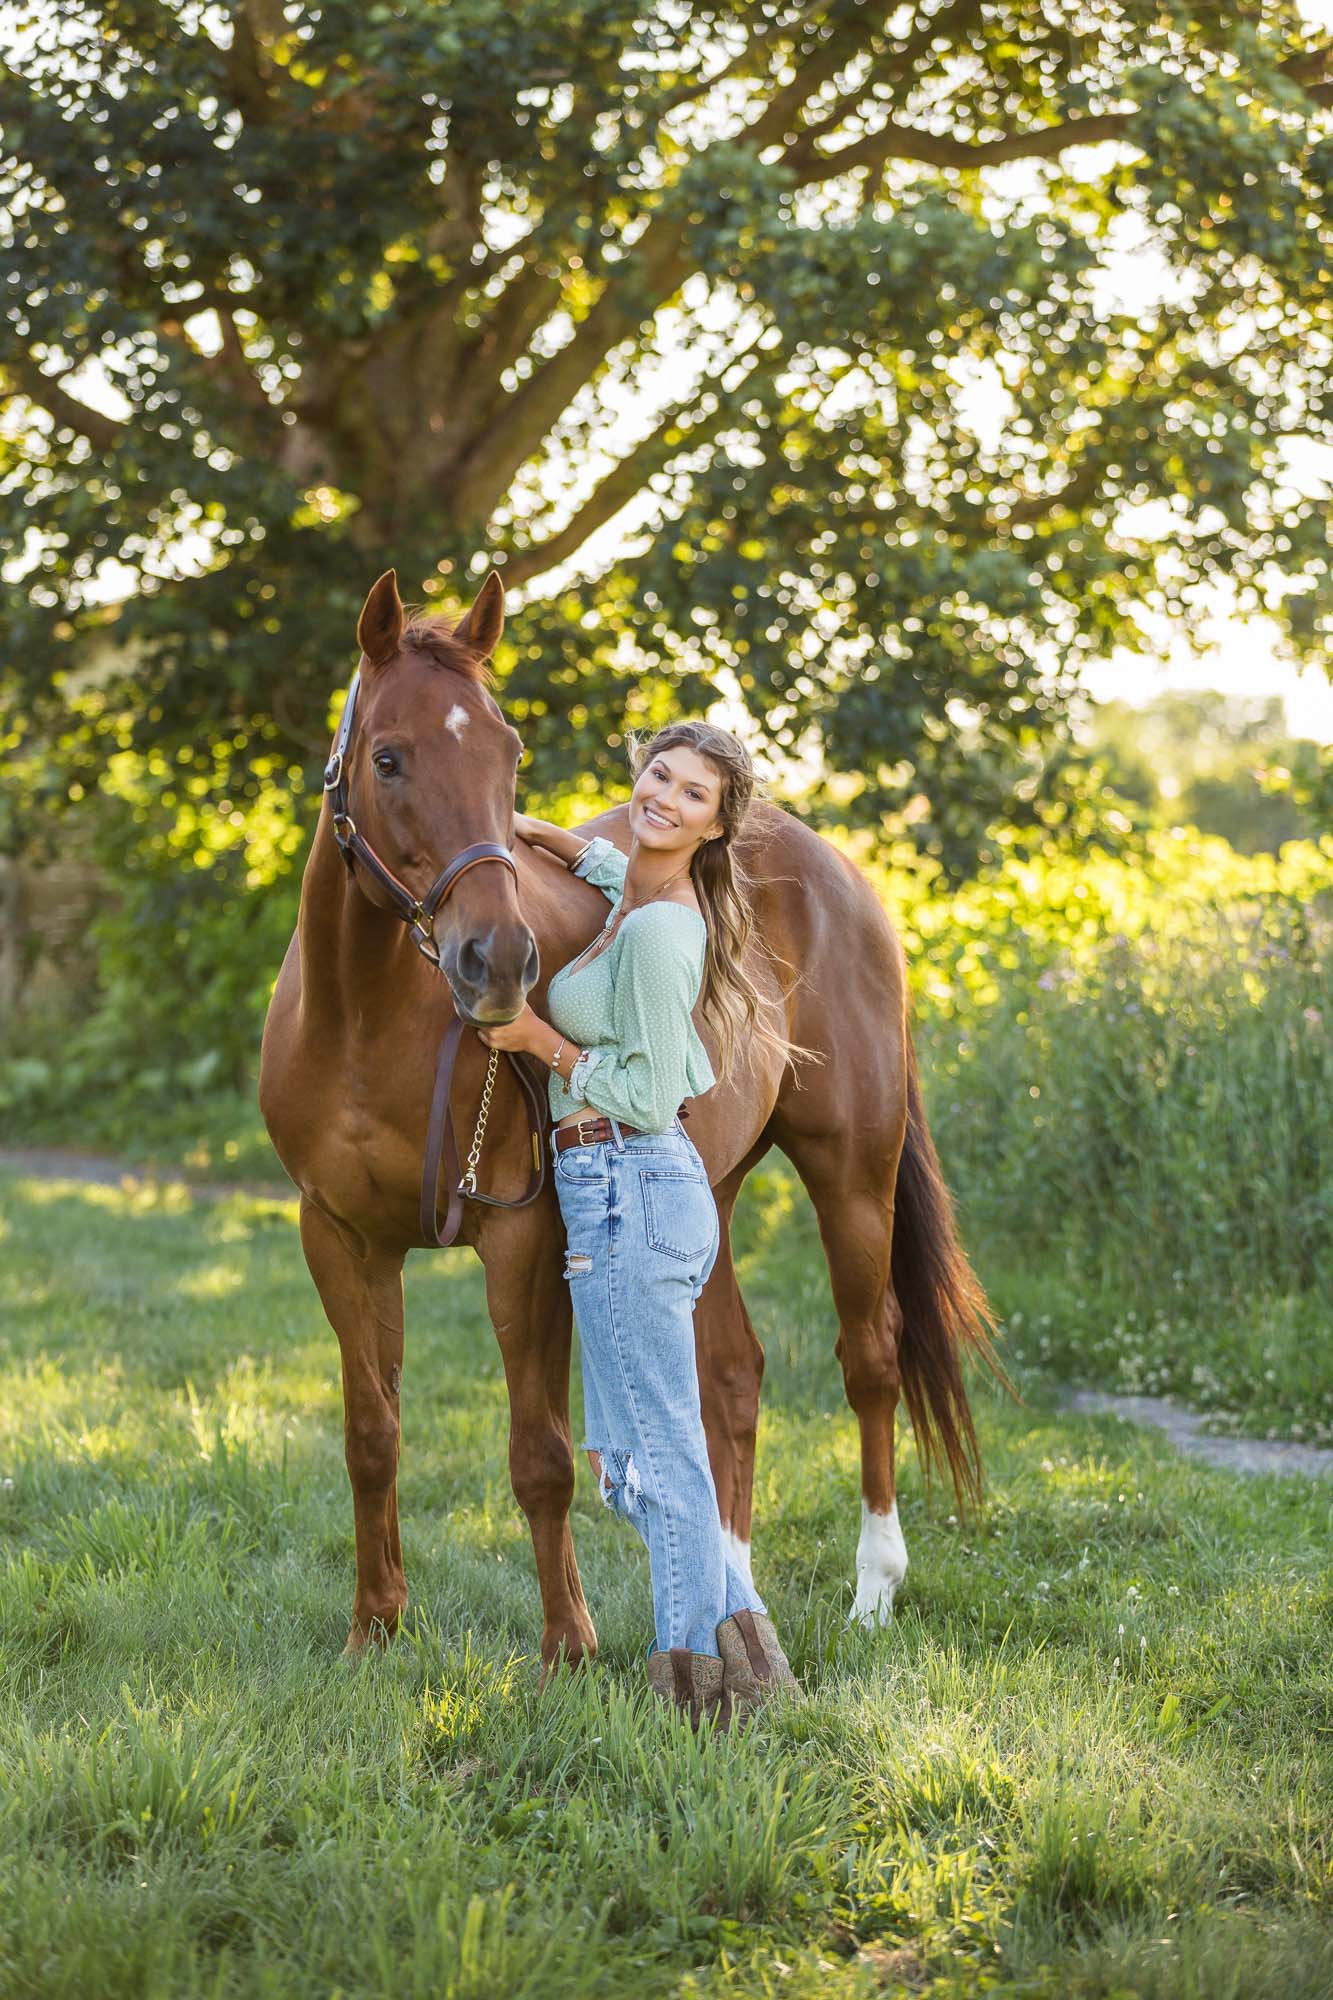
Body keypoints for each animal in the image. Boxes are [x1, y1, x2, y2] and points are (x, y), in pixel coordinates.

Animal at [260, 572, 992, 1664]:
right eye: (387, 757)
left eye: (508, 751)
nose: (499, 960)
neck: (363, 1021)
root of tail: (828, 864)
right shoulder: (340, 1238)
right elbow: (371, 1434)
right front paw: (374, 1630)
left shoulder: (525, 1240)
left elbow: (540, 1452)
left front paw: (568, 1644)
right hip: (711, 1190)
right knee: (730, 1377)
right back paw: (727, 1593)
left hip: (852, 1178)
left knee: (870, 1361)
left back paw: (872, 1590)